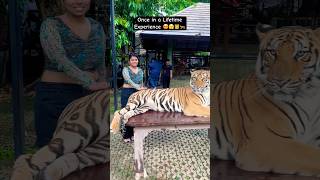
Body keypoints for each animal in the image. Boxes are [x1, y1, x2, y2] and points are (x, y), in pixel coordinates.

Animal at [211, 24, 320, 176]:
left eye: (300, 54)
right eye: (273, 52)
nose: (280, 81)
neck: (309, 99)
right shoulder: (267, 142)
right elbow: (313, 156)